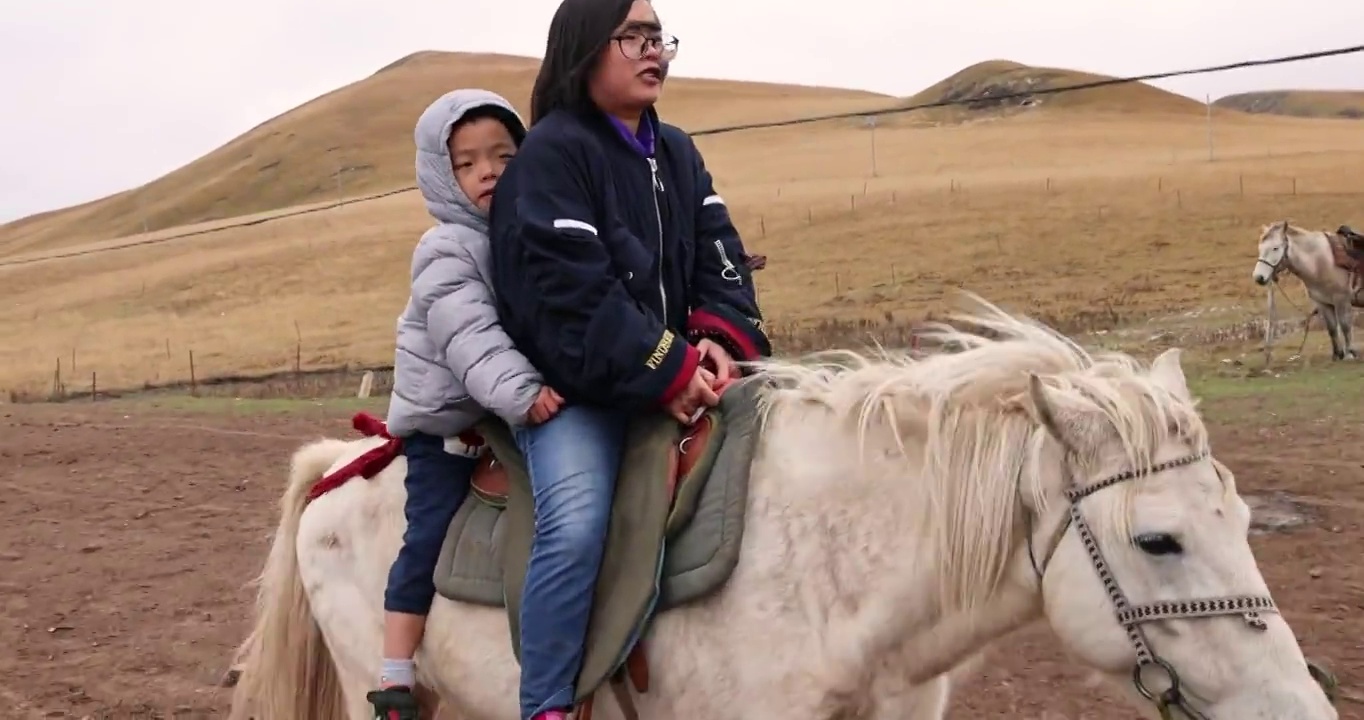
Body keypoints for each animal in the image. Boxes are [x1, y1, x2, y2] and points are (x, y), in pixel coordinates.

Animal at [1249, 220, 1358, 360]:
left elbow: (1345, 326)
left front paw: (1349, 354)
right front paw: (1337, 354)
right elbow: (1332, 328)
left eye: (1275, 248)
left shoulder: (1341, 300)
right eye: (1260, 248)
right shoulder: (1323, 303)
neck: (1319, 262)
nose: (1259, 277)